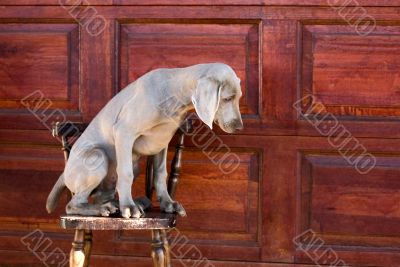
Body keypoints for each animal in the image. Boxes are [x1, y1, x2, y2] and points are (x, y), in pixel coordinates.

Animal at [45, 63, 242, 220]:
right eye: (226, 98)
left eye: (239, 98)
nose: (239, 127)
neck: (173, 95)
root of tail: (65, 172)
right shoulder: (124, 131)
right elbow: (125, 174)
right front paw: (128, 207)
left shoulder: (161, 141)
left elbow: (160, 174)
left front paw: (168, 203)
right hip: (97, 156)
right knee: (73, 204)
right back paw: (107, 208)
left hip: (132, 166)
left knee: (102, 195)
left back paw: (127, 203)